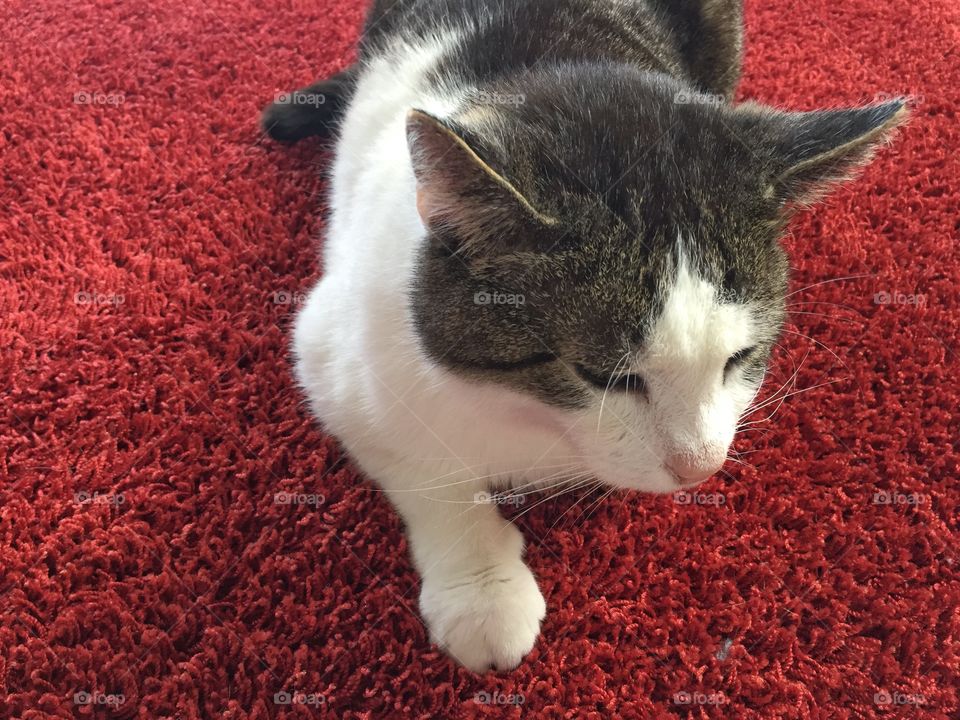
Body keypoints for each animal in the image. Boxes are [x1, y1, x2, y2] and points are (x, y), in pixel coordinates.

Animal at [264, 0, 908, 676]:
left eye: (741, 357)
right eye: (603, 377)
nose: (699, 468)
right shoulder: (332, 352)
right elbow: (424, 466)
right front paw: (482, 592)